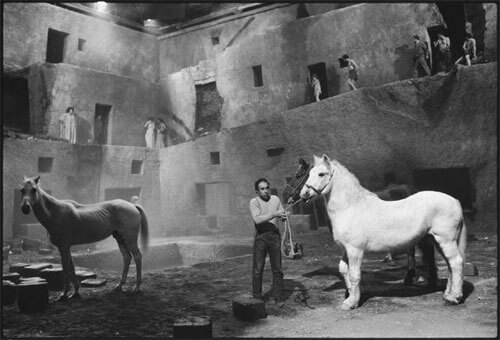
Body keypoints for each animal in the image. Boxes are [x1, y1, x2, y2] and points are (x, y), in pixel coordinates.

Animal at [20, 175, 148, 300]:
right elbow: (71, 267)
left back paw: (137, 287)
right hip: (120, 239)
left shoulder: (63, 246)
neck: (55, 212)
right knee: (127, 258)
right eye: (22, 190)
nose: (25, 208)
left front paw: (64, 294)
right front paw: (75, 292)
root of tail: (133, 205)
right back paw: (119, 286)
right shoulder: (67, 247)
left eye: (34, 189)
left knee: (137, 256)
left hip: (130, 239)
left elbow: (66, 268)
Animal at [298, 155, 466, 310]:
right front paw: (350, 297)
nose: (304, 194)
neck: (350, 207)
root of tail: (455, 201)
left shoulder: (355, 250)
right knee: (449, 265)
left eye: (321, 174)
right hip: (436, 241)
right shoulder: (347, 249)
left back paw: (453, 298)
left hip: (445, 241)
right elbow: (343, 270)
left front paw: (352, 303)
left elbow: (354, 275)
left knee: (455, 263)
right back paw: (447, 294)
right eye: (309, 173)